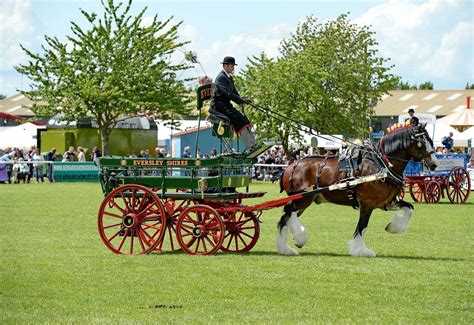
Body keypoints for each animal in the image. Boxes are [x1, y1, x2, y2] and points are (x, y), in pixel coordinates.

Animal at [278, 123, 436, 256]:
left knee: (286, 217)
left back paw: (285, 248)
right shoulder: (367, 204)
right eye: (421, 143)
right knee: (288, 212)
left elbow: (410, 209)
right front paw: (361, 250)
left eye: (431, 140)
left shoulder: (389, 202)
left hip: (305, 200)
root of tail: (291, 165)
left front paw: (393, 227)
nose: (434, 164)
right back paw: (299, 237)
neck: (382, 164)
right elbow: (362, 226)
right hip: (303, 198)